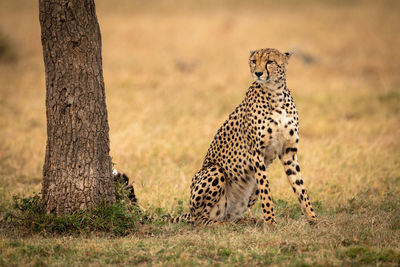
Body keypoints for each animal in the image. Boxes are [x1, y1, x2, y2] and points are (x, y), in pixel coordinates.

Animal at [173, 48, 318, 226]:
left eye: (270, 61)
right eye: (254, 61)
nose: (258, 73)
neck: (276, 94)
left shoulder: (288, 152)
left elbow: (300, 188)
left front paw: (313, 219)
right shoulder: (256, 152)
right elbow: (266, 191)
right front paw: (271, 222)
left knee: (229, 214)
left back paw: (245, 221)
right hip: (215, 171)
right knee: (199, 219)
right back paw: (222, 224)